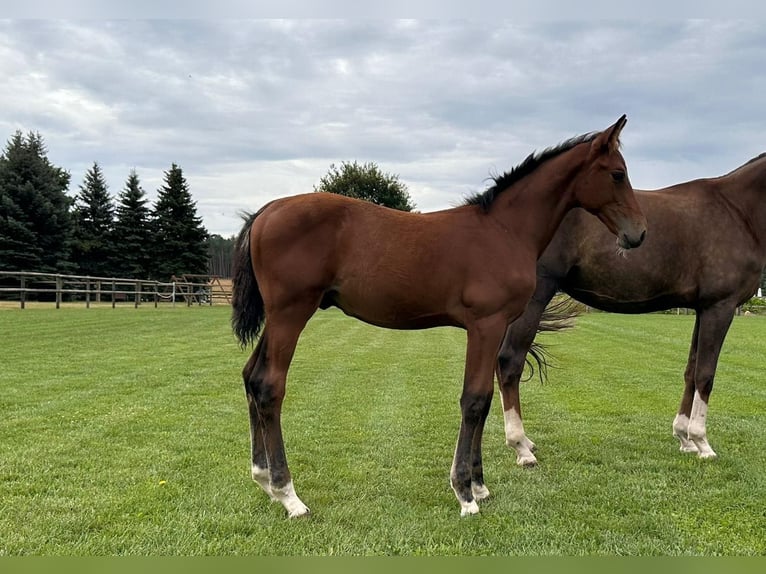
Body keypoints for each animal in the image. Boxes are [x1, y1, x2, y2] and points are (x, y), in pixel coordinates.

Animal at [230, 115, 648, 520]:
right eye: (617, 173)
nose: (639, 234)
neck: (504, 231)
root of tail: (267, 211)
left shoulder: (494, 328)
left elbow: (484, 398)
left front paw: (479, 485)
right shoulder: (485, 325)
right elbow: (474, 400)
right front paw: (465, 494)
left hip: (279, 317)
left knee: (251, 376)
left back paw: (264, 480)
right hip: (291, 312)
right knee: (269, 386)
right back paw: (288, 495)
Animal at [498, 153, 766, 468]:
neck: (737, 211)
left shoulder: (702, 309)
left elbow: (691, 370)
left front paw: (684, 438)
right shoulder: (719, 307)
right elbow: (705, 374)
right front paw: (702, 442)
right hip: (537, 295)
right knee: (509, 362)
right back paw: (520, 446)